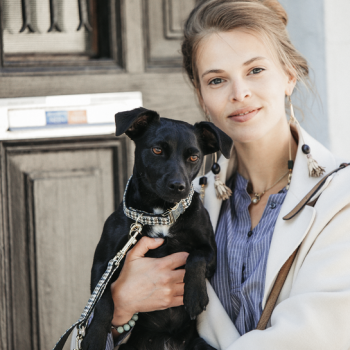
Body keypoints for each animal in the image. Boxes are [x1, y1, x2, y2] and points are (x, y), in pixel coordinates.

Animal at [82, 108, 232, 348]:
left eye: (194, 157)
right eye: (157, 150)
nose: (178, 186)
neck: (160, 214)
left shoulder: (211, 253)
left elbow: (196, 257)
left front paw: (195, 295)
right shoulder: (103, 264)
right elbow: (103, 301)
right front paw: (95, 336)